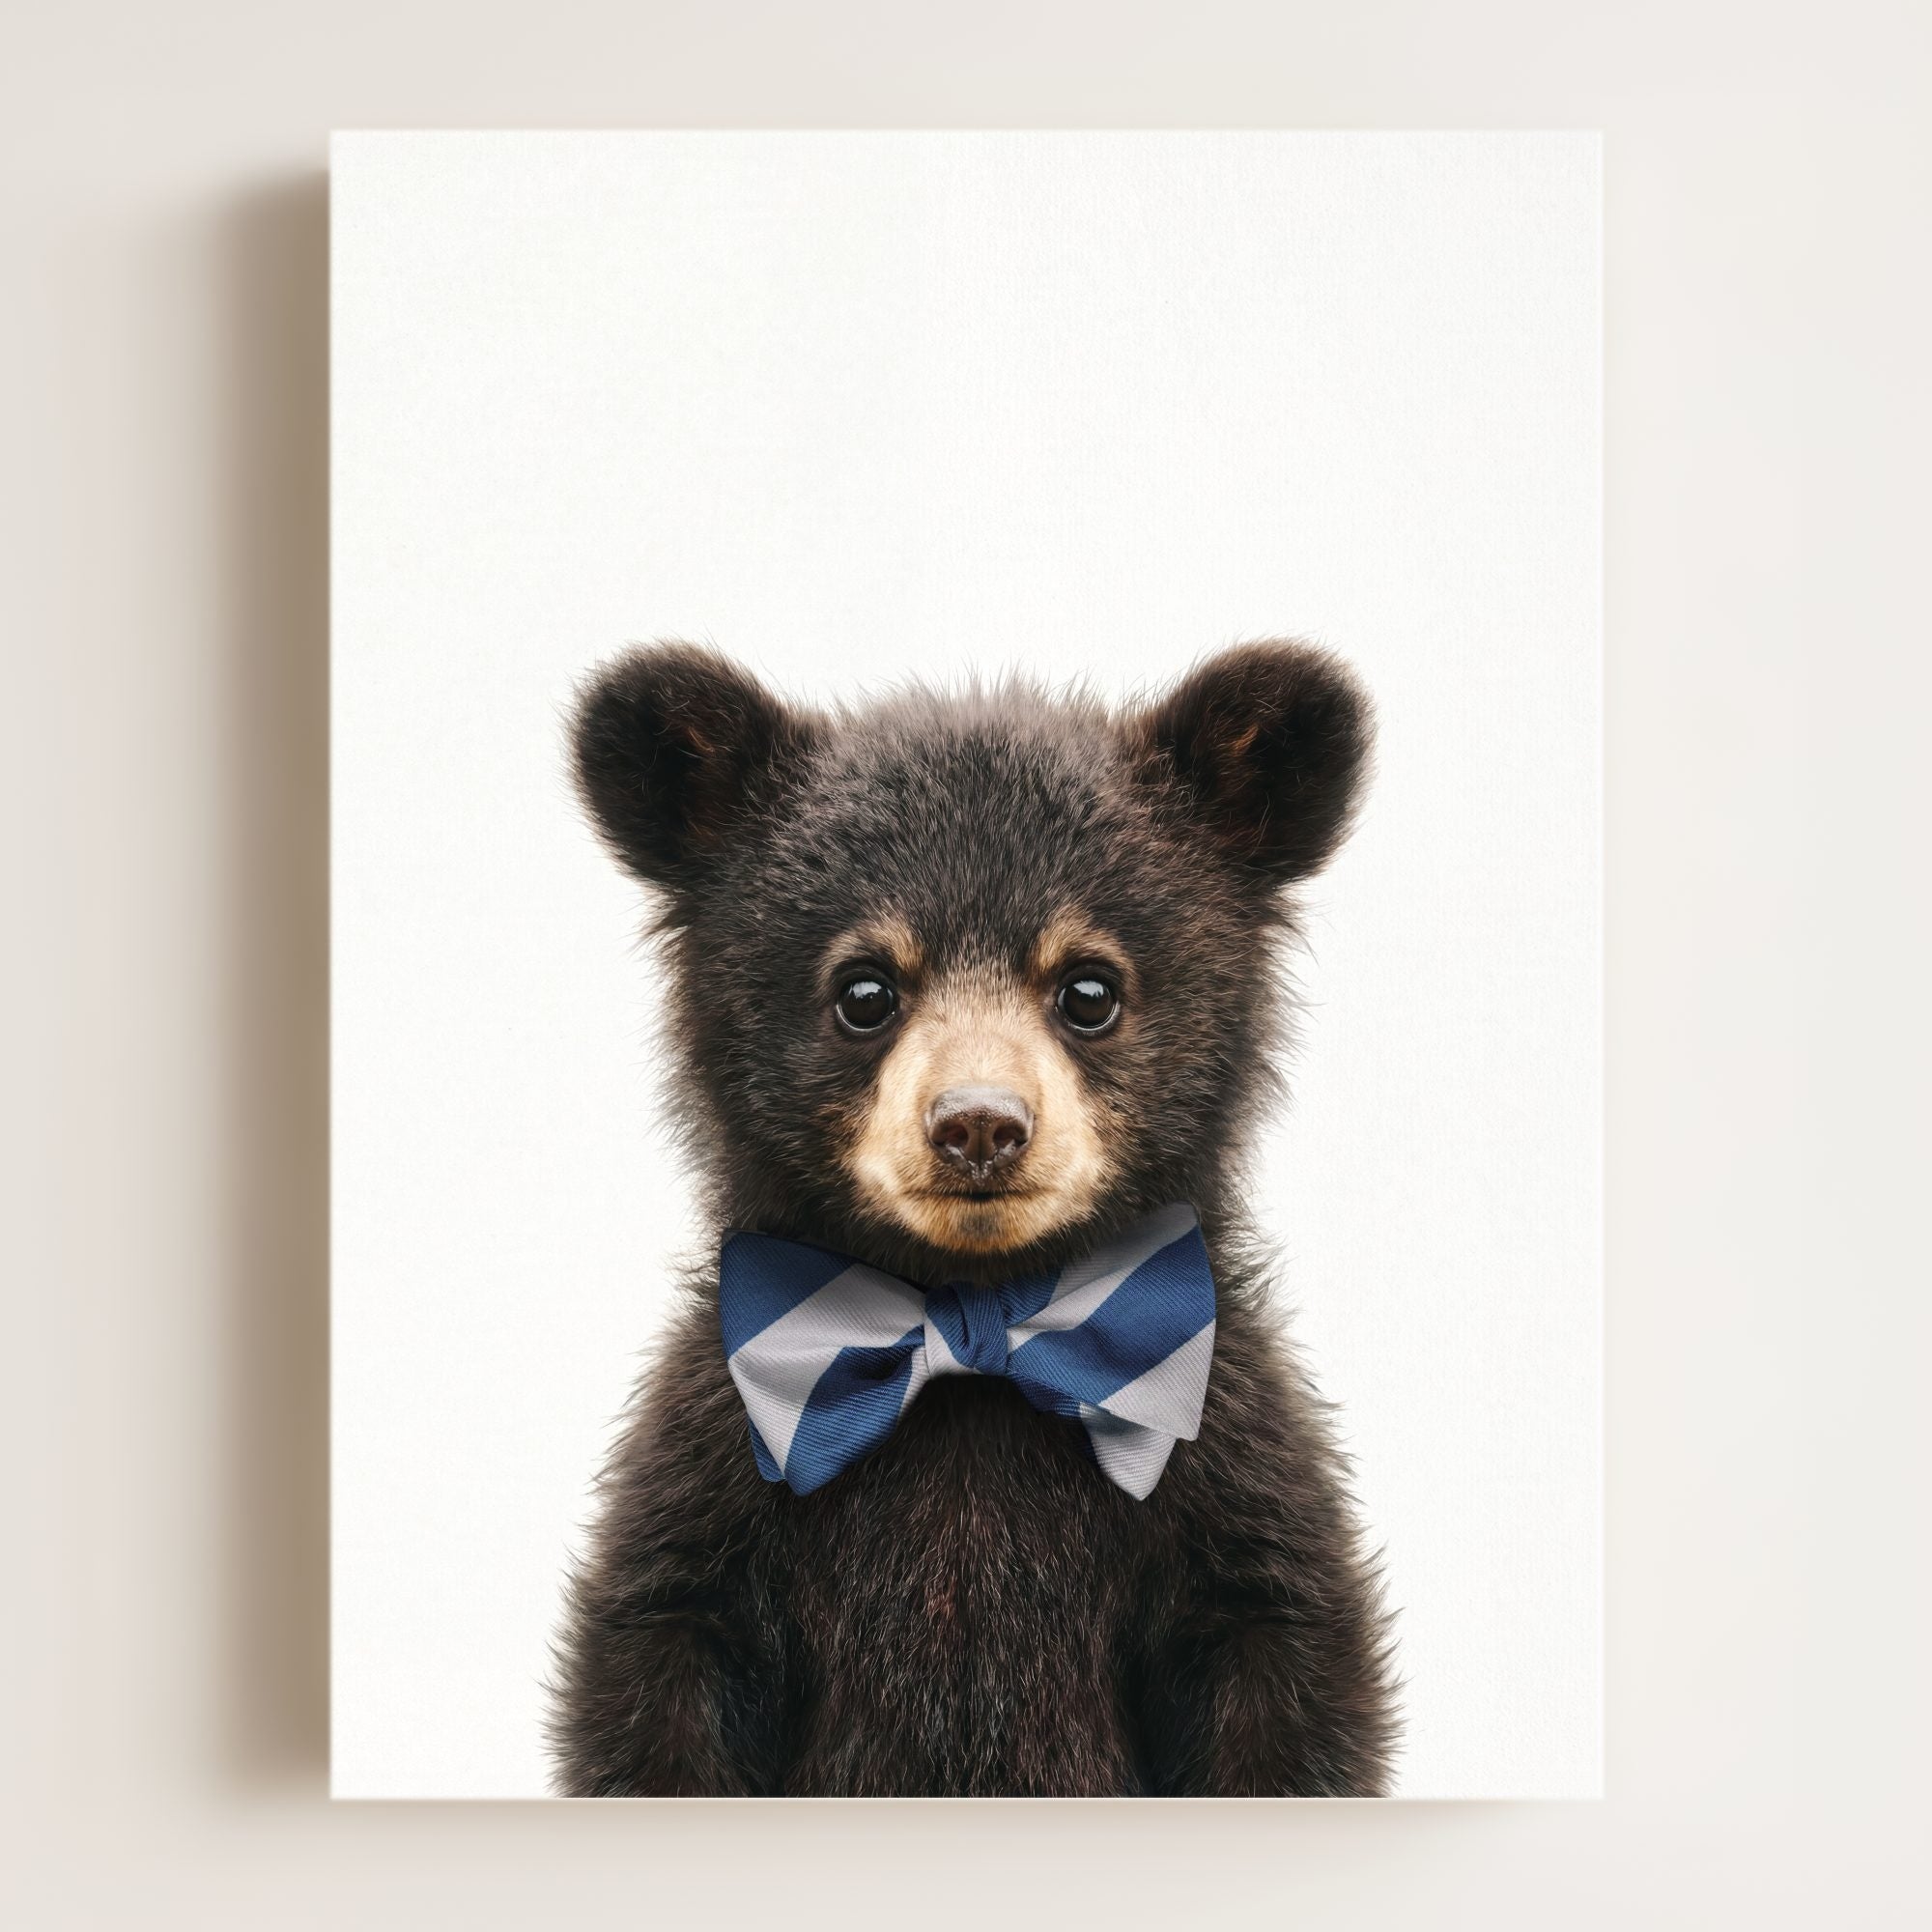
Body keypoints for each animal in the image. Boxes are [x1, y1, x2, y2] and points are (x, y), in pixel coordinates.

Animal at [549, 638, 1398, 1796]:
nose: (979, 1125)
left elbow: (1283, 1678)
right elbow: (657, 1678)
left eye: (1089, 988)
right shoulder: (712, 1481)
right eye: (864, 989)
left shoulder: (1230, 1477)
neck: (973, 1321)